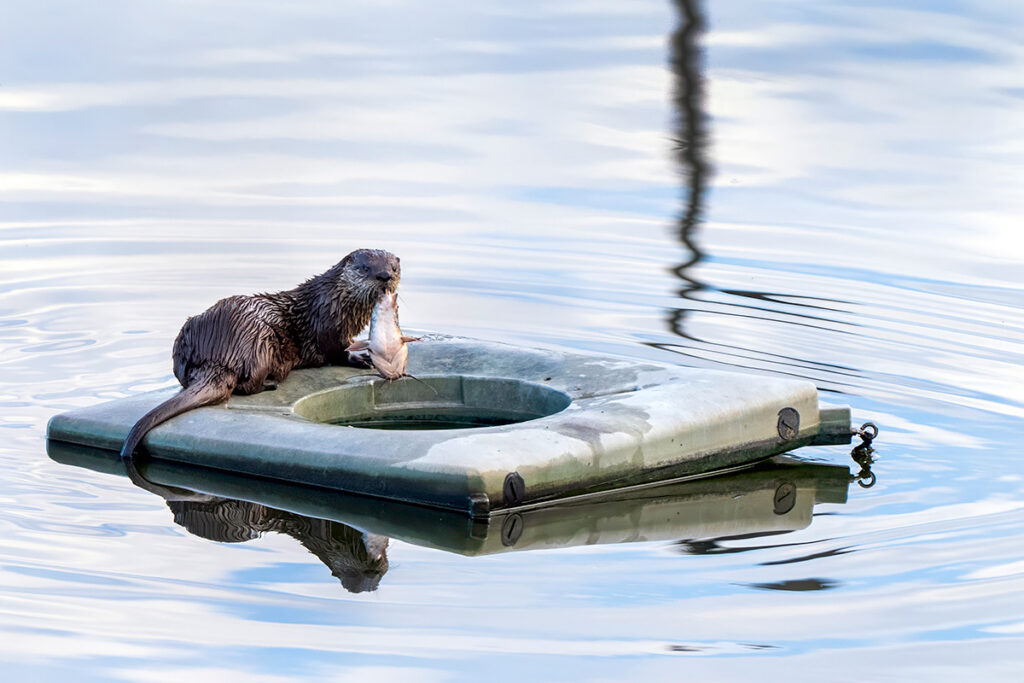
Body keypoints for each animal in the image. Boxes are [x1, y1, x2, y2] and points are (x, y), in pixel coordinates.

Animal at [119, 248, 401, 461]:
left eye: (393, 267)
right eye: (365, 268)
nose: (384, 276)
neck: (335, 300)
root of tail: (216, 353)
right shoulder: (329, 328)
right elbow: (336, 352)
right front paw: (361, 358)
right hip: (261, 341)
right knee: (246, 385)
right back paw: (269, 384)